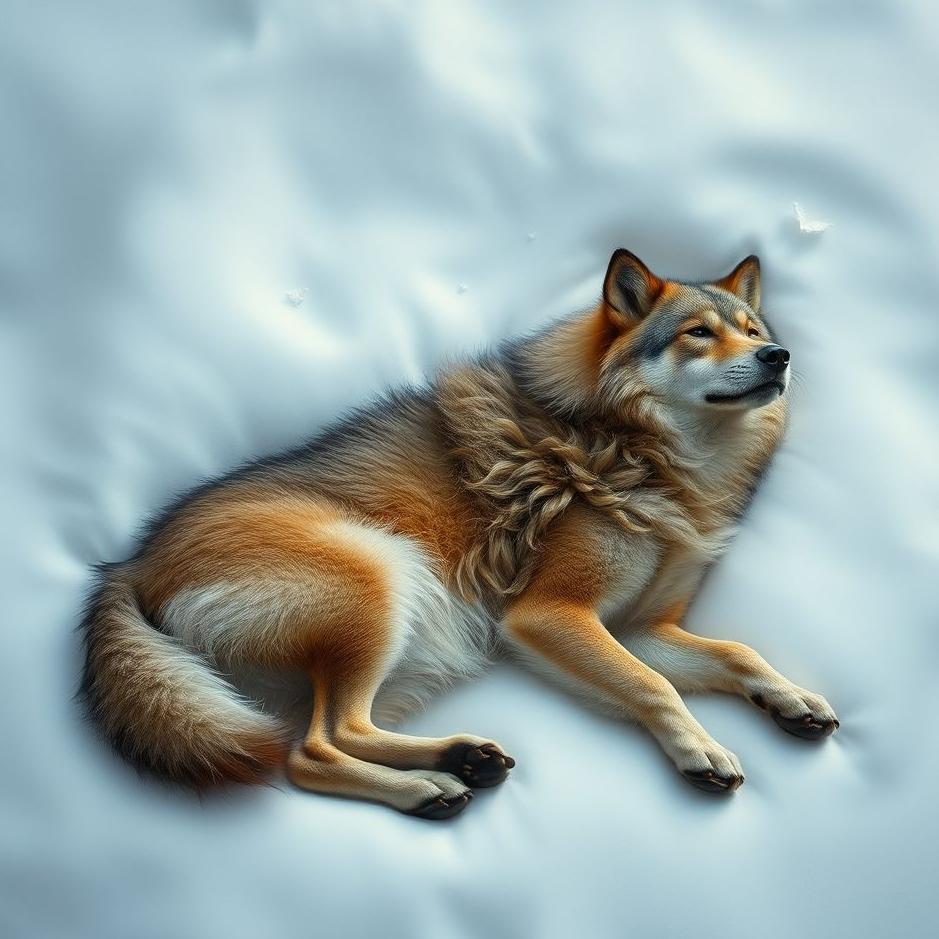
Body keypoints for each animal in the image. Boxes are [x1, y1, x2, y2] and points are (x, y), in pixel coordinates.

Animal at [80, 249, 839, 819]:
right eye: (698, 334)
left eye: (750, 328)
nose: (778, 354)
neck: (643, 452)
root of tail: (127, 564)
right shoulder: (549, 615)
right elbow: (654, 686)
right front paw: (700, 750)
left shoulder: (638, 626)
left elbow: (735, 652)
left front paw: (791, 698)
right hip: (386, 575)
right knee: (314, 748)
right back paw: (428, 785)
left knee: (331, 735)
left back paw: (459, 759)